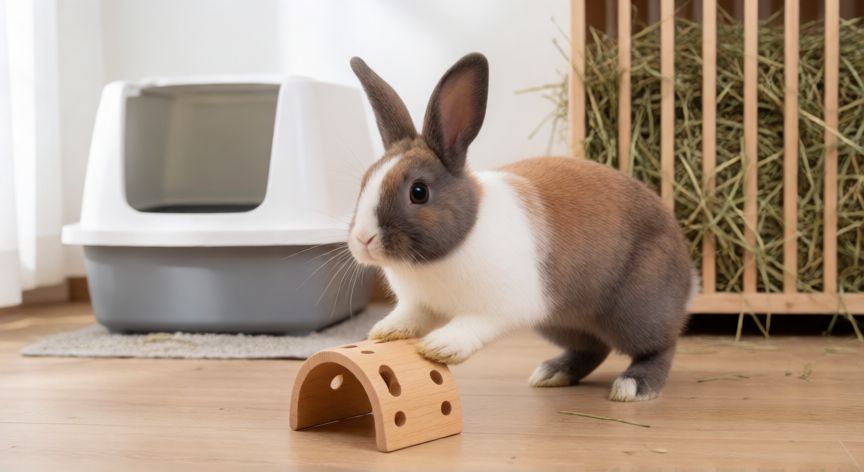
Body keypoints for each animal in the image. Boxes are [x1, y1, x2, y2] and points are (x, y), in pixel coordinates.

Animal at [346, 52, 696, 402]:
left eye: (418, 192)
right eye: (364, 182)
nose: (363, 239)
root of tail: (688, 269)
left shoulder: (501, 306)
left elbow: (473, 323)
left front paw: (440, 346)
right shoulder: (420, 304)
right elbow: (411, 315)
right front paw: (384, 332)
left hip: (636, 311)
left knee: (660, 347)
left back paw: (633, 386)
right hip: (561, 321)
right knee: (593, 348)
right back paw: (553, 372)